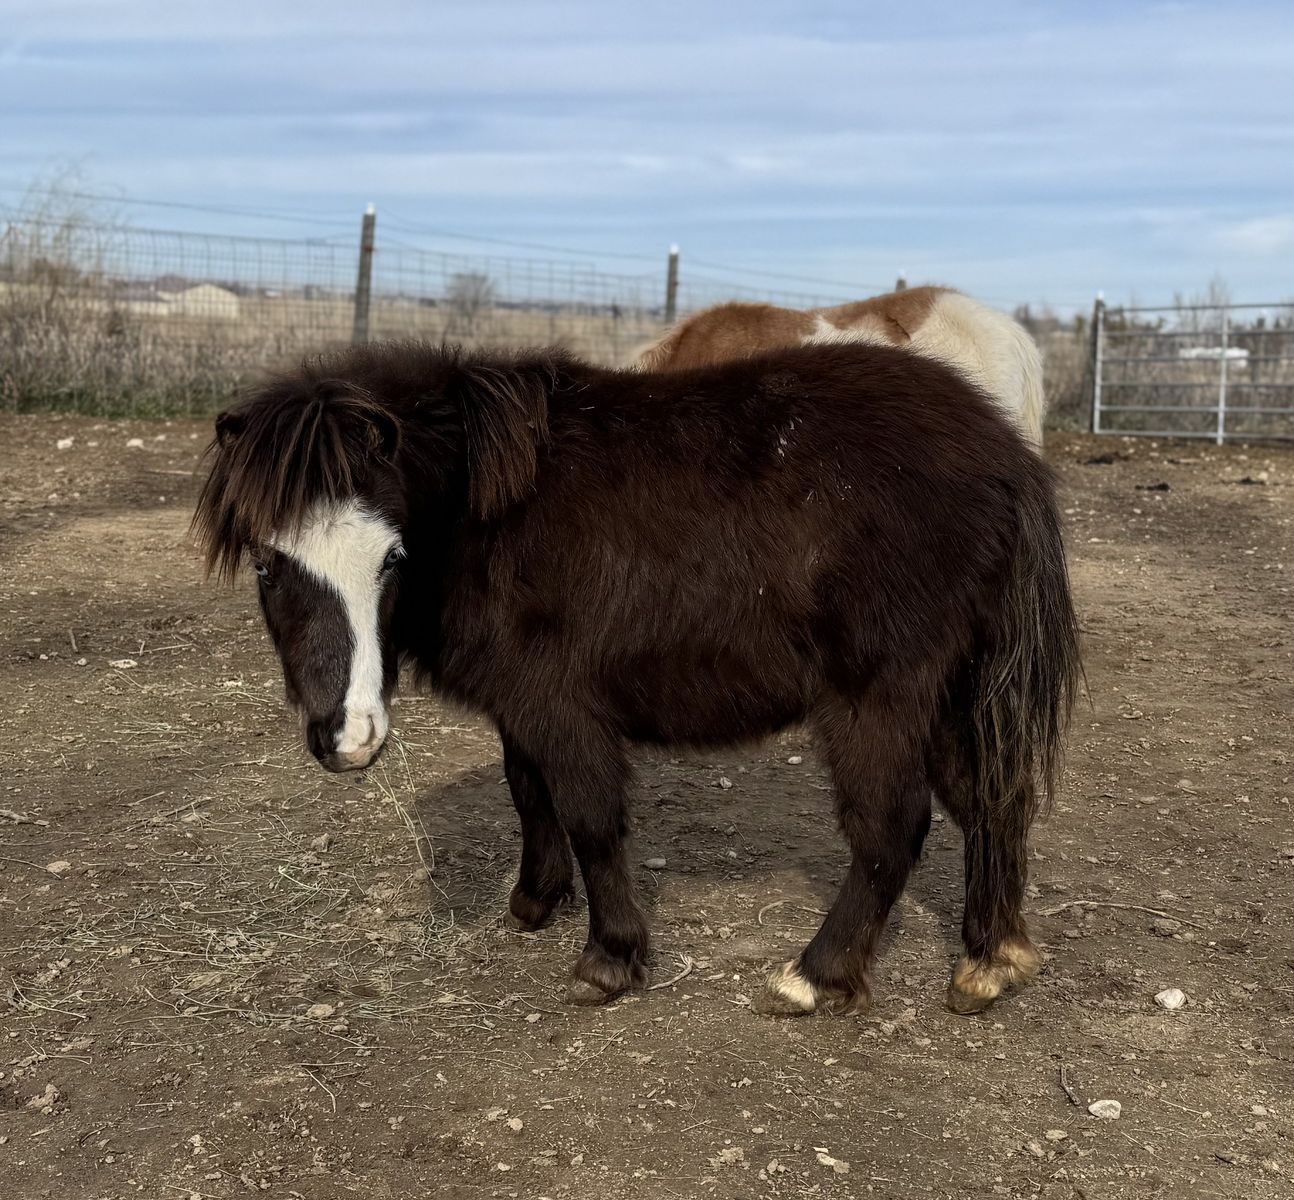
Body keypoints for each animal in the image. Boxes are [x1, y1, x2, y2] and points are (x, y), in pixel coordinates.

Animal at [193, 339, 1079, 1017]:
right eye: (268, 562)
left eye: (391, 558)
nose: (348, 739)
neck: (484, 509)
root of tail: (1006, 457)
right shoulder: (523, 705)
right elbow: (529, 791)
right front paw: (535, 900)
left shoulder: (564, 705)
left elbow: (590, 816)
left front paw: (608, 960)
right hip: (952, 694)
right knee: (992, 802)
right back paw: (990, 963)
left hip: (879, 699)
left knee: (892, 828)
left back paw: (813, 977)